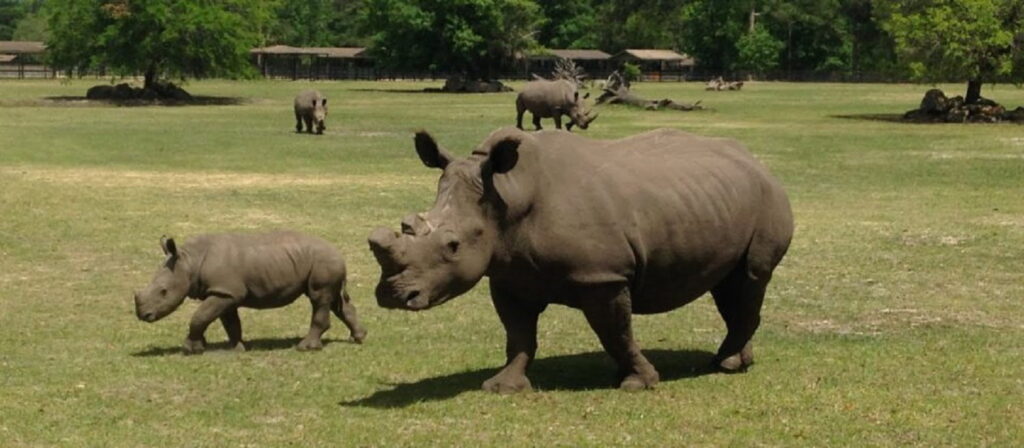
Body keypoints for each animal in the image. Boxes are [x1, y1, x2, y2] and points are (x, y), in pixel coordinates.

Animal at [134, 231, 366, 355]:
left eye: (163, 291)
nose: (143, 315)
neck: (190, 261)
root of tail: (339, 253)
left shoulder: (224, 292)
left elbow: (200, 316)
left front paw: (192, 350)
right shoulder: (226, 293)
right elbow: (230, 323)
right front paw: (235, 348)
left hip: (323, 262)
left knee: (319, 298)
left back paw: (305, 348)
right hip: (325, 263)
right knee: (334, 302)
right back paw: (359, 338)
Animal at [368, 128, 793, 392]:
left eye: (453, 245)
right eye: (407, 226)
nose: (393, 296)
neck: (507, 194)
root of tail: (757, 161)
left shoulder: (602, 276)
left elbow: (615, 332)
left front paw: (637, 382)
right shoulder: (508, 276)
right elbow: (518, 335)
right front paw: (503, 387)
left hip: (768, 197)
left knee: (752, 276)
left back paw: (725, 365)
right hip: (720, 197)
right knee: (729, 285)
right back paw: (737, 359)